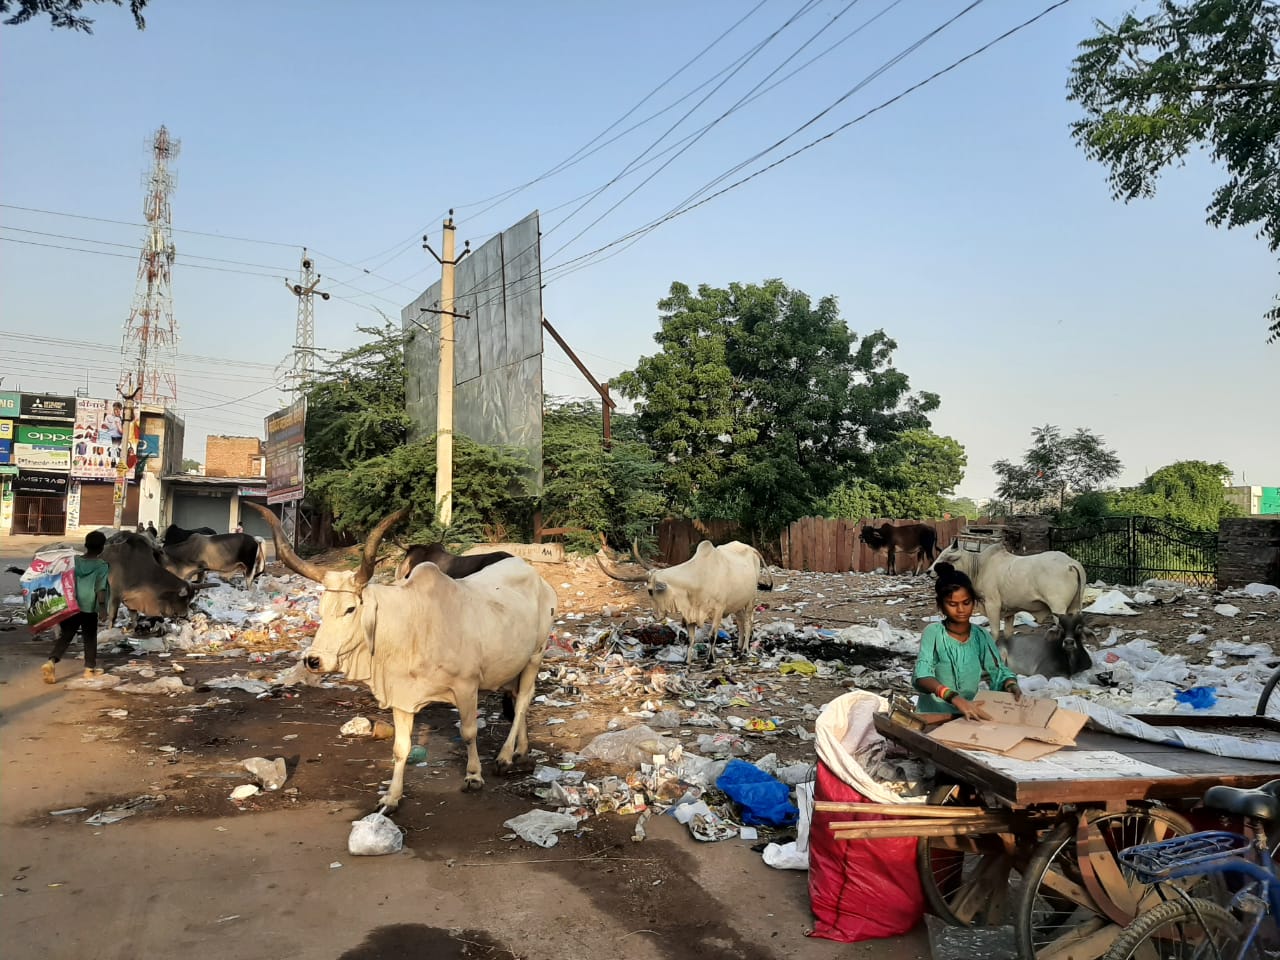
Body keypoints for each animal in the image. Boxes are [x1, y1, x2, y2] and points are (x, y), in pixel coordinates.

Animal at [244, 504, 555, 814]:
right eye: (321, 609)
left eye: (350, 609)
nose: (313, 660)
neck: (412, 624)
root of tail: (536, 577)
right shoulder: (401, 694)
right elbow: (400, 747)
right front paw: (391, 797)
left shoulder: (467, 686)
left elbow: (468, 732)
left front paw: (474, 775)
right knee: (517, 699)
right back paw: (521, 750)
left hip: (535, 655)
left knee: (523, 701)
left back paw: (505, 756)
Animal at [596, 542, 773, 670]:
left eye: (651, 591)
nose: (655, 616)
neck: (698, 578)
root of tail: (751, 549)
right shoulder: (690, 613)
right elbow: (690, 638)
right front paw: (687, 661)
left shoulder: (718, 610)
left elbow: (712, 636)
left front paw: (710, 660)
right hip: (737, 604)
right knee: (741, 622)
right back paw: (738, 649)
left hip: (750, 599)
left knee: (749, 622)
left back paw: (745, 651)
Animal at [926, 545, 1085, 650]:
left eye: (945, 557)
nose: (928, 571)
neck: (979, 568)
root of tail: (1071, 563)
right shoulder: (1010, 611)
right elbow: (1008, 633)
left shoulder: (992, 605)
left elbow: (995, 631)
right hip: (1074, 607)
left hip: (1058, 607)